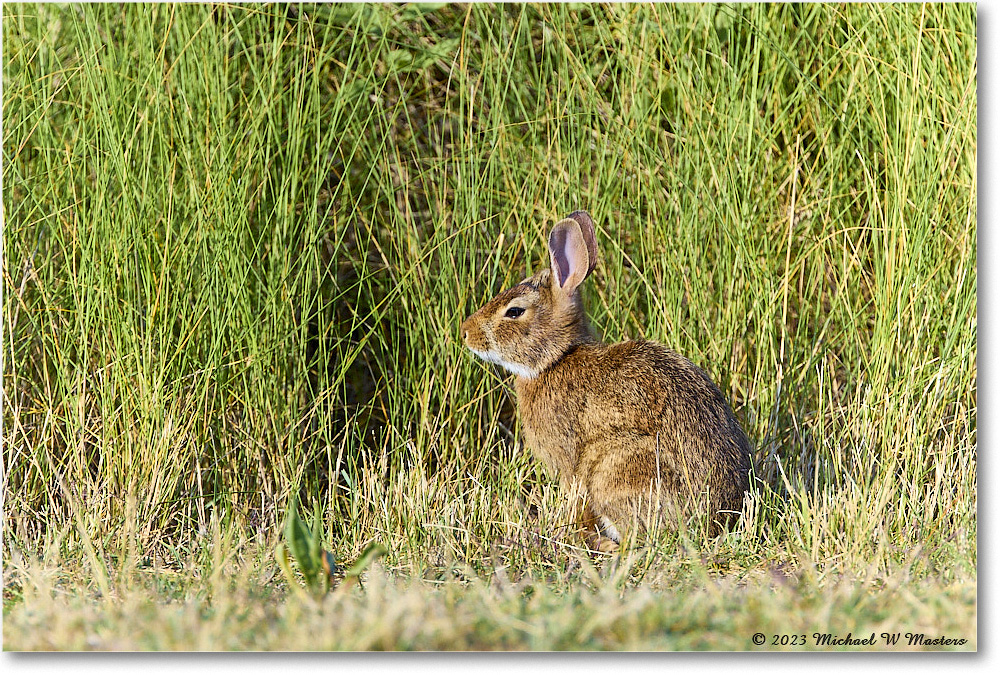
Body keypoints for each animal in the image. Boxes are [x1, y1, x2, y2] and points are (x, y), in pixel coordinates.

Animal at [460, 211, 752, 556]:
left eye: (514, 311)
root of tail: (716, 518)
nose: (465, 332)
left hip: (616, 467)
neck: (555, 358)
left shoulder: (571, 464)